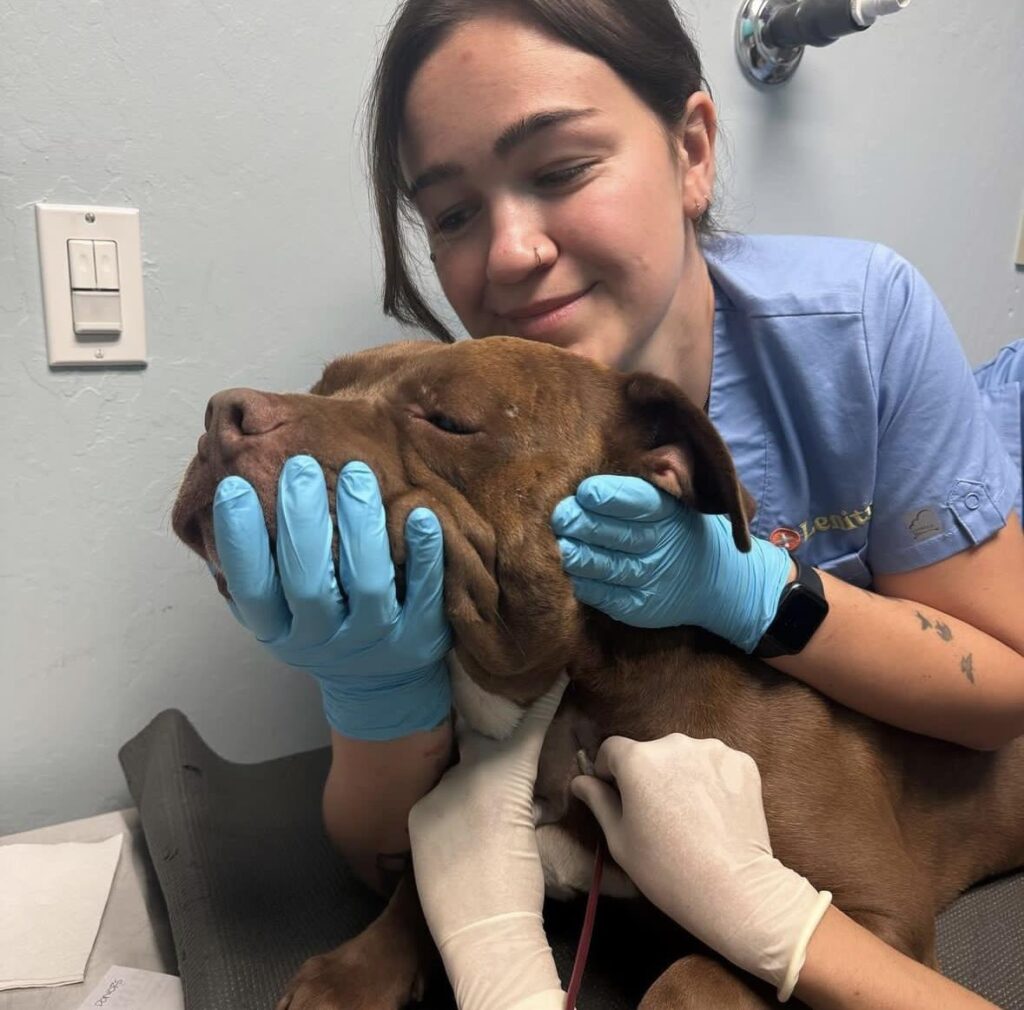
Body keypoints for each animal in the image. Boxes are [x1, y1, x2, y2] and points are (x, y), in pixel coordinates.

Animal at [172, 338, 1019, 1007]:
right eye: (325, 385)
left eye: (448, 420)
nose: (220, 411)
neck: (575, 699)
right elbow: (414, 885)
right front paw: (353, 972)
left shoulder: (878, 915)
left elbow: (712, 967)